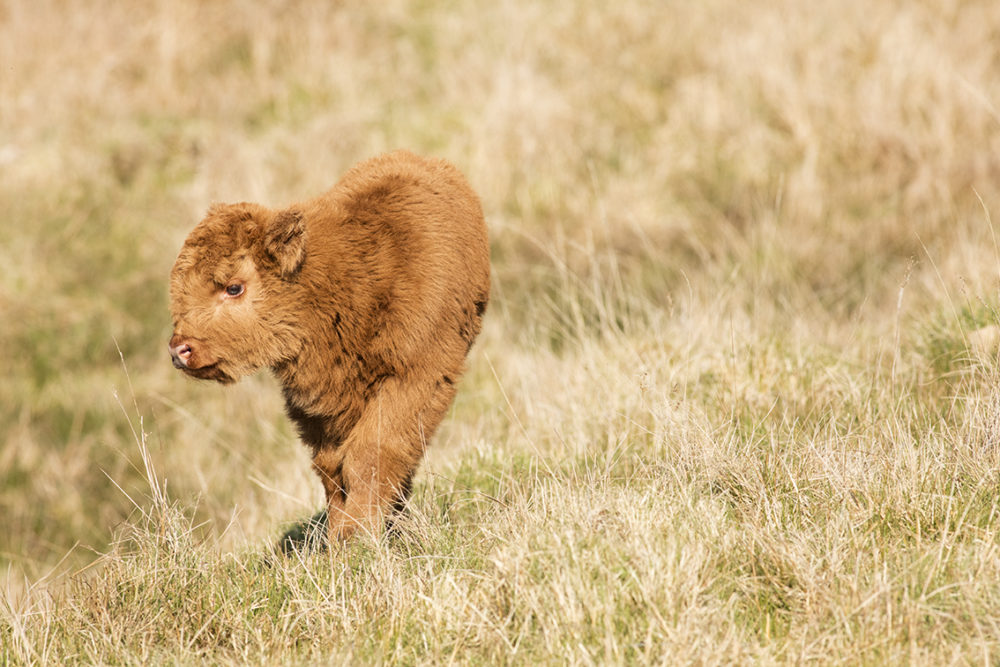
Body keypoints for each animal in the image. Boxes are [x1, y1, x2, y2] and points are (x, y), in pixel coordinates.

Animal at [170, 151, 490, 544]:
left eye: (234, 287)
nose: (180, 349)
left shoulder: (414, 379)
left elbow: (372, 453)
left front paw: (357, 534)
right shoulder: (316, 408)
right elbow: (332, 469)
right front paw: (338, 537)